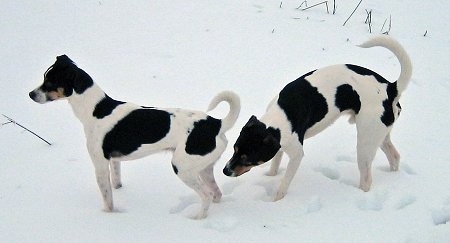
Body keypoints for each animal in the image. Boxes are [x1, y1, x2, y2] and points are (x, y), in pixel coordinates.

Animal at [29, 56, 241, 219]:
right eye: (44, 77)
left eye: (50, 82)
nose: (30, 94)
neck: (95, 110)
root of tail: (216, 123)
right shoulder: (114, 161)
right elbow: (116, 182)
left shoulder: (100, 164)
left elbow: (107, 199)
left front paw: (108, 216)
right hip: (204, 168)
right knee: (216, 193)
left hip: (183, 168)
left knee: (206, 196)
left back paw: (197, 219)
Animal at [221, 35, 412, 200]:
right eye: (234, 149)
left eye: (247, 158)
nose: (225, 171)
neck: (280, 116)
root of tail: (390, 88)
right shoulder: (280, 145)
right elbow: (275, 163)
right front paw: (270, 176)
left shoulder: (296, 154)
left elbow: (284, 182)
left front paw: (276, 200)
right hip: (379, 135)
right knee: (394, 156)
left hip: (366, 142)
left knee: (367, 178)